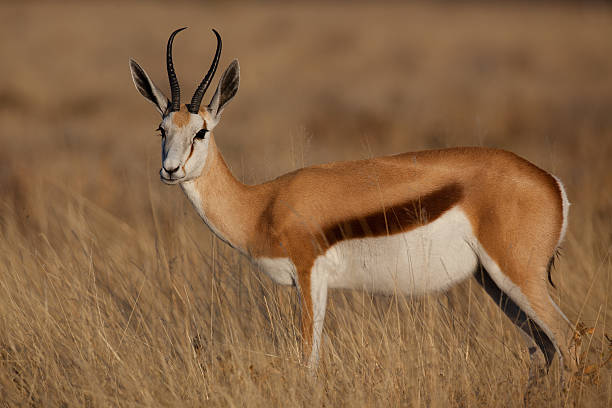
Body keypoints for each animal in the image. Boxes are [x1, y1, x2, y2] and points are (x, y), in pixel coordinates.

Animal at [129, 27, 580, 380]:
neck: (261, 204)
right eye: (161, 129)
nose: (169, 170)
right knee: (546, 348)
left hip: (518, 276)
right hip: (493, 283)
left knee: (568, 339)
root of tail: (551, 183)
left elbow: (308, 359)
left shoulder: (310, 277)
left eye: (201, 131)